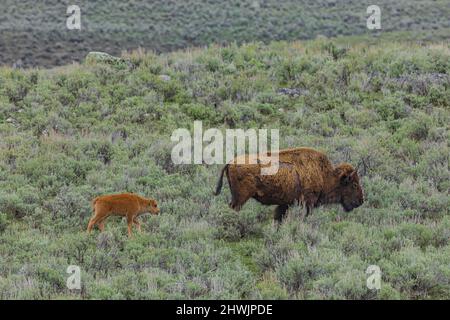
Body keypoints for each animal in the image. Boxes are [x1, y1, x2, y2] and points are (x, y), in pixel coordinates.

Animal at [213, 148, 364, 222]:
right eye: (354, 184)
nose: (361, 201)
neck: (324, 174)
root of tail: (230, 162)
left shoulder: (284, 204)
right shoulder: (308, 202)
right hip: (241, 197)